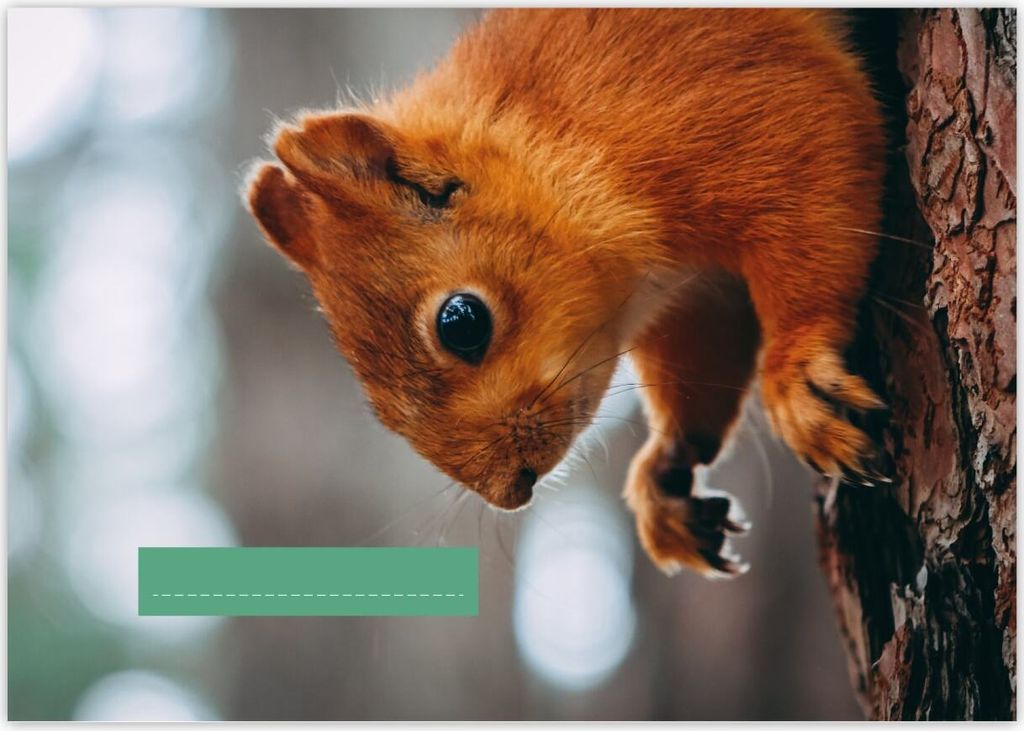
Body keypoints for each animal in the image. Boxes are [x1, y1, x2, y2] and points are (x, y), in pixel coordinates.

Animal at [244, 9, 887, 577]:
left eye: (462, 322)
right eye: (377, 409)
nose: (511, 490)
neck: (555, 131)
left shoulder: (735, 96)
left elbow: (815, 169)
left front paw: (796, 373)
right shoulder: (697, 290)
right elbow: (704, 356)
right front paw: (665, 472)